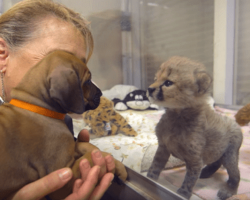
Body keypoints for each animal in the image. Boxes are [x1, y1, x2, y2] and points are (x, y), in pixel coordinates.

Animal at [0, 50, 126, 200]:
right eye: (88, 81)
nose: (101, 93)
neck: (38, 107)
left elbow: (85, 146)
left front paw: (117, 166)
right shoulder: (61, 182)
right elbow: (90, 156)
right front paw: (108, 159)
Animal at [146, 56, 242, 200]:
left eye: (168, 83)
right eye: (156, 79)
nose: (149, 89)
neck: (177, 115)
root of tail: (235, 123)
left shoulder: (195, 159)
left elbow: (190, 179)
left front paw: (183, 193)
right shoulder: (163, 147)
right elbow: (155, 164)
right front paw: (150, 178)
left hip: (230, 155)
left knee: (235, 174)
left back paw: (228, 191)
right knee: (216, 161)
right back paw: (206, 172)